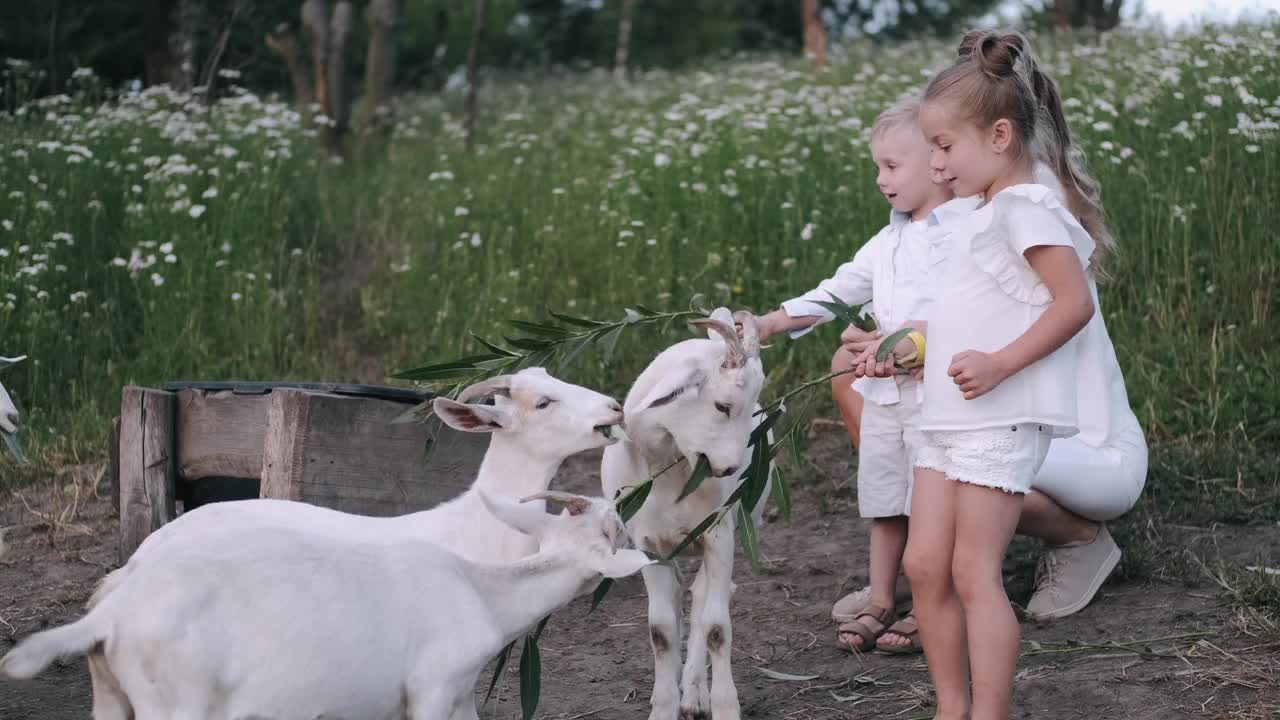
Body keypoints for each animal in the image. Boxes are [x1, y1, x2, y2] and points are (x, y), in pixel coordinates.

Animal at [0, 484, 655, 712]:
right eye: (616, 531)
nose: (631, 507)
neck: (482, 593)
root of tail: (112, 611)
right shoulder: (434, 686)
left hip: (112, 695)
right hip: (176, 703)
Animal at [604, 308, 773, 717]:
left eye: (751, 407)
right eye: (722, 406)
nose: (729, 469)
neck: (670, 475)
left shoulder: (718, 534)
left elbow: (716, 628)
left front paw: (726, 707)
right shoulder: (648, 547)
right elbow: (662, 632)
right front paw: (662, 708)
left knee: (706, 599)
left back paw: (696, 694)